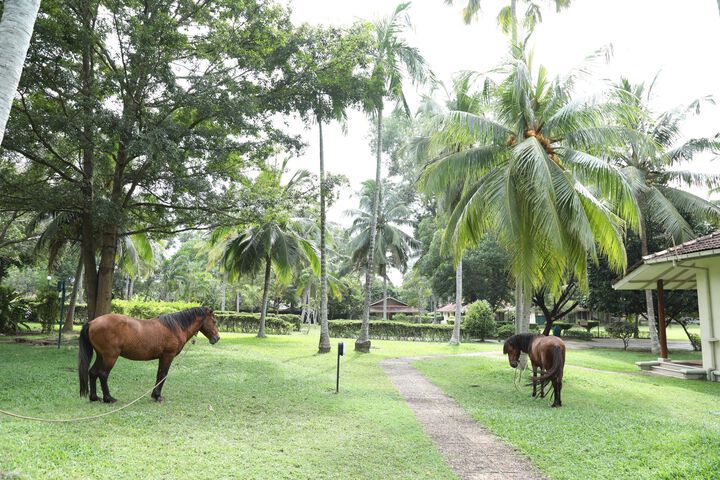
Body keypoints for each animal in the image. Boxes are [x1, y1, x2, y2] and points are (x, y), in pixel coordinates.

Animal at [78, 306, 219, 403]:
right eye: (214, 321)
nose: (216, 338)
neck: (175, 327)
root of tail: (92, 323)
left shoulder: (162, 357)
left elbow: (159, 375)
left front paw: (154, 395)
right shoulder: (168, 356)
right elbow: (163, 375)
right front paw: (157, 396)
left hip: (101, 356)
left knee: (93, 373)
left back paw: (94, 397)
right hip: (110, 357)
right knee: (103, 374)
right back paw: (109, 398)